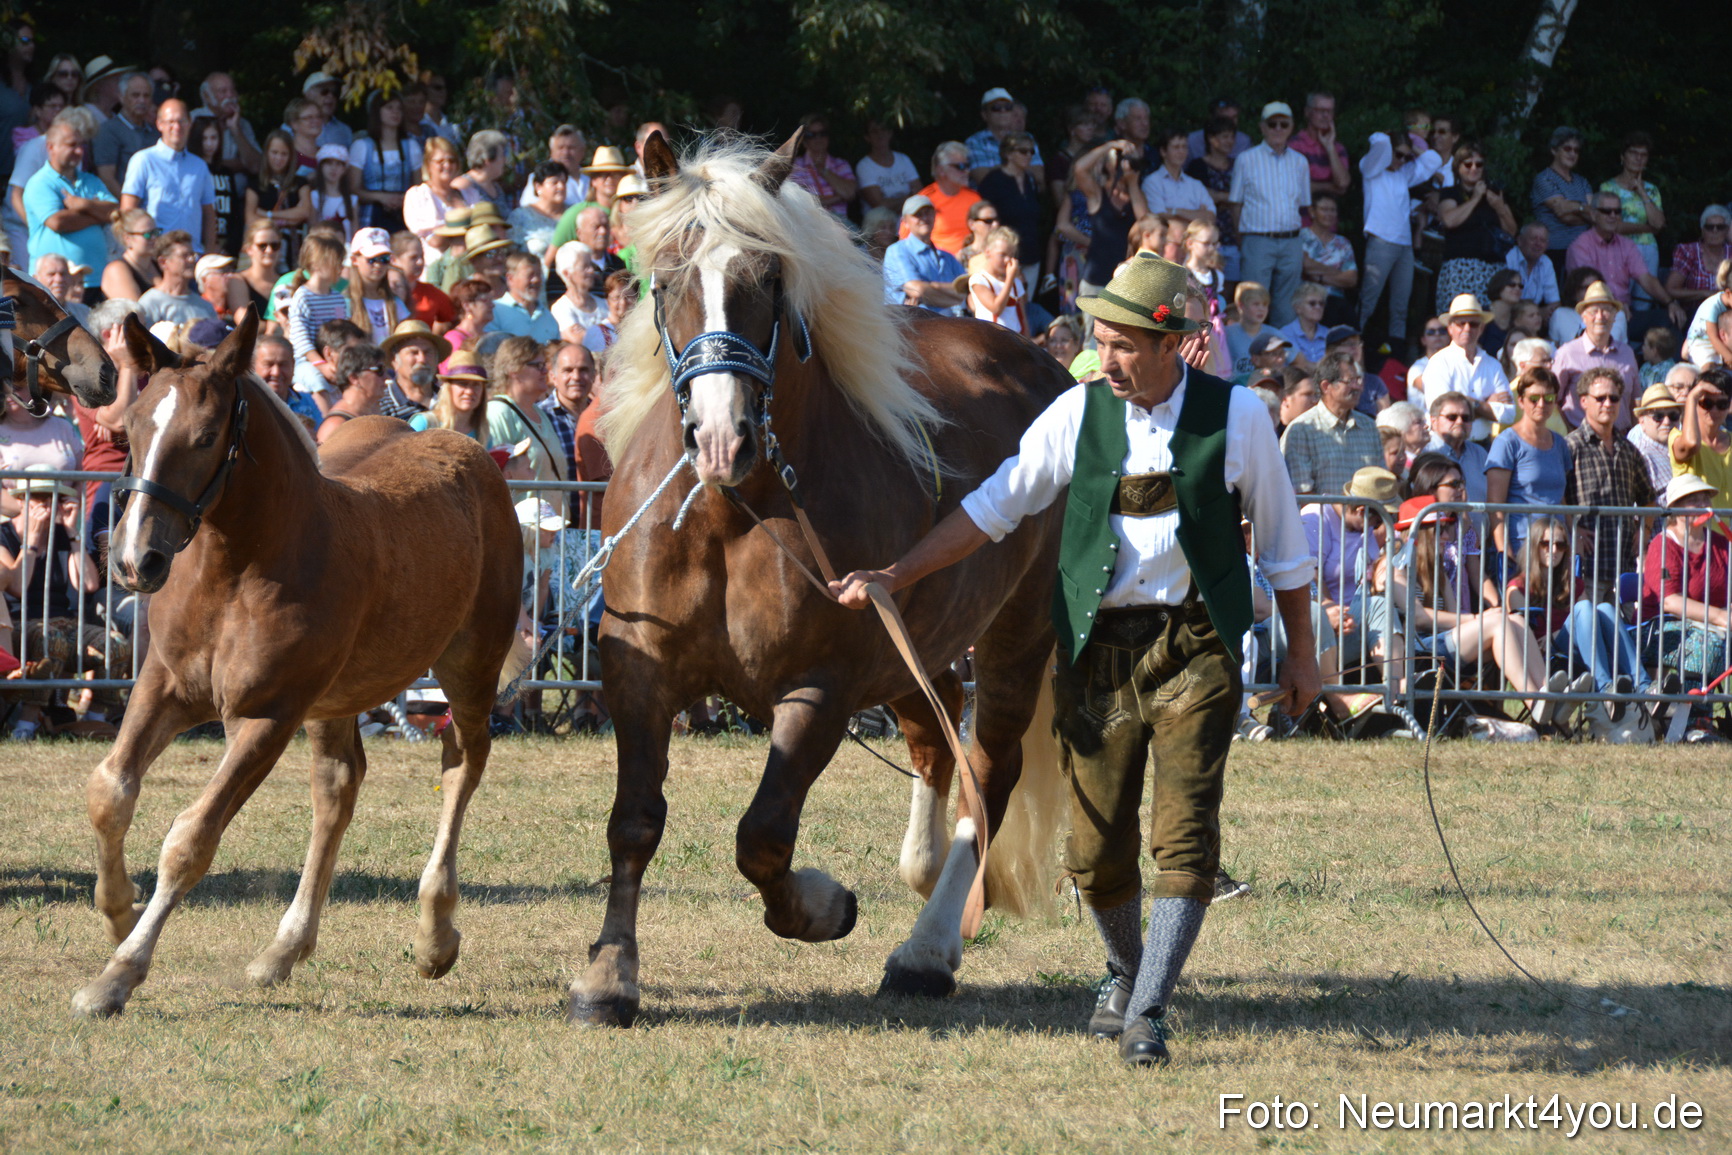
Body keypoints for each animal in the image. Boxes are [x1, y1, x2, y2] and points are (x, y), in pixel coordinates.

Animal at [70, 312, 527, 1018]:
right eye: (132, 427)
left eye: (206, 437)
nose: (132, 560)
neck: (235, 569)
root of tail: (471, 449)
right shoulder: (165, 688)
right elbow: (109, 790)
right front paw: (118, 913)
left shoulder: (267, 717)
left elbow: (190, 839)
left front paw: (118, 973)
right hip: (335, 699)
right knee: (339, 786)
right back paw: (284, 949)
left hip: (470, 664)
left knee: (462, 761)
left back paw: (435, 933)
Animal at [569, 131, 1072, 1027]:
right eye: (665, 279)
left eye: (768, 281)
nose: (722, 437)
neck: (733, 510)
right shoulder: (639, 673)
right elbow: (634, 822)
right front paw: (609, 973)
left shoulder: (820, 689)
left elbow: (763, 835)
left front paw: (822, 905)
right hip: (915, 643)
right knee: (935, 733)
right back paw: (922, 867)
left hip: (1017, 636)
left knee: (988, 770)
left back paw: (926, 949)